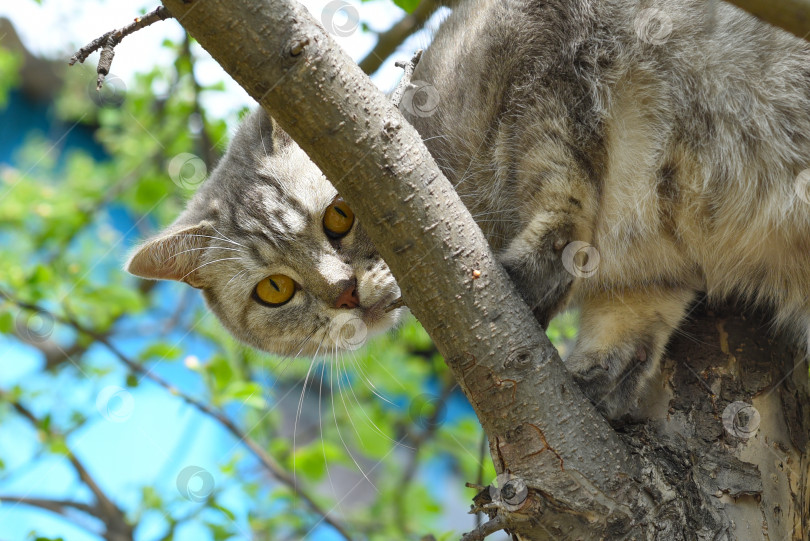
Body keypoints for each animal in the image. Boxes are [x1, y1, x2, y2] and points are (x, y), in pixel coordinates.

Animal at [123, 0, 808, 418]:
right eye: (274, 291)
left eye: (340, 217)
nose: (344, 291)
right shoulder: (654, 273)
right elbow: (634, 320)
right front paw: (599, 380)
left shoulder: (549, 51)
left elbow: (563, 188)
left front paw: (532, 272)